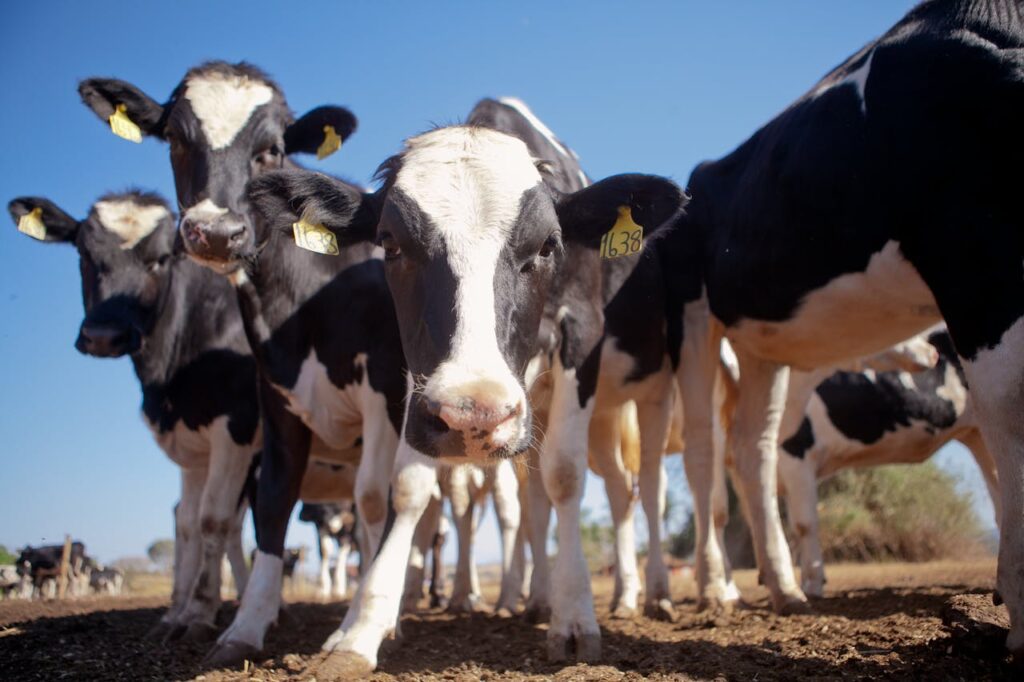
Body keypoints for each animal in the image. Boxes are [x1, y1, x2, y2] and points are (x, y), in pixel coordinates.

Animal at [9, 192, 258, 632]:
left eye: (160, 259)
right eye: (83, 252)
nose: (104, 336)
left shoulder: (235, 427)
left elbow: (211, 518)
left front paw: (199, 611)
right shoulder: (195, 445)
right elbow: (189, 522)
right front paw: (179, 612)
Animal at [248, 97, 687, 675]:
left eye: (549, 245)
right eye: (390, 243)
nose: (475, 415)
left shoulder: (582, 334)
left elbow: (566, 475)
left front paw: (575, 618)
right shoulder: (413, 382)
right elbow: (409, 487)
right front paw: (361, 627)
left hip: (644, 396)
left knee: (641, 485)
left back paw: (645, 592)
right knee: (540, 500)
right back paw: (537, 598)